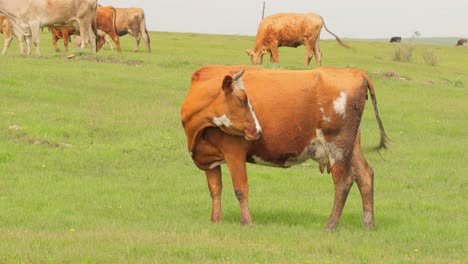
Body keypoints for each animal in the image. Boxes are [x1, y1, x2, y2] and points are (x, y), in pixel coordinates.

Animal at [181, 65, 390, 230]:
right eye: (242, 99)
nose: (258, 130)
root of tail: (355, 71)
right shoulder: (209, 158)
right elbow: (215, 189)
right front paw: (215, 220)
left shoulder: (234, 152)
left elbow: (241, 189)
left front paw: (247, 222)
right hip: (352, 146)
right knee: (365, 175)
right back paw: (368, 225)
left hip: (337, 146)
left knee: (344, 181)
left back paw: (330, 225)